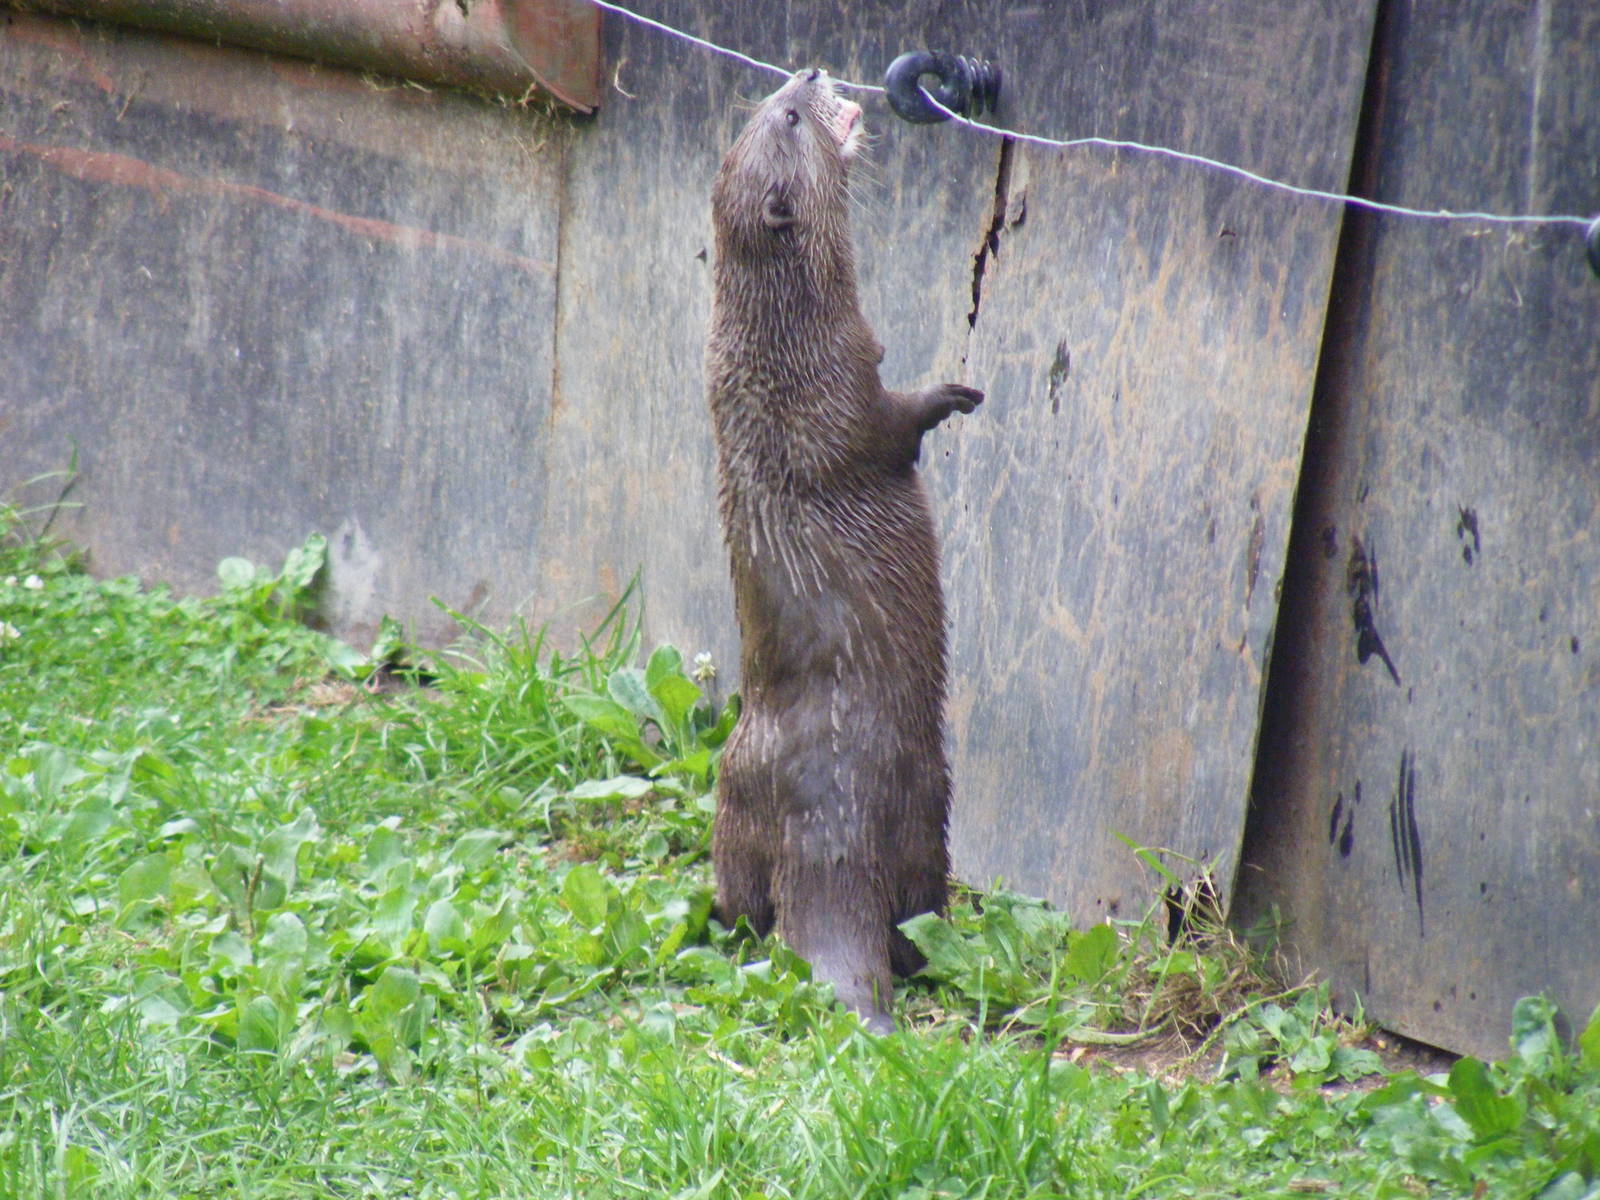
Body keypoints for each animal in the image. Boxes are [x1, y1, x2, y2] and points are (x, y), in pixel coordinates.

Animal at [705, 68, 982, 1031]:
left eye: (769, 102)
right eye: (792, 117)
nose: (812, 73)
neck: (781, 341)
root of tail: (830, 833)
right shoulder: (847, 391)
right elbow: (897, 427)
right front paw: (951, 394)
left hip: (734, 783)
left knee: (743, 900)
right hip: (928, 807)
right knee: (914, 914)